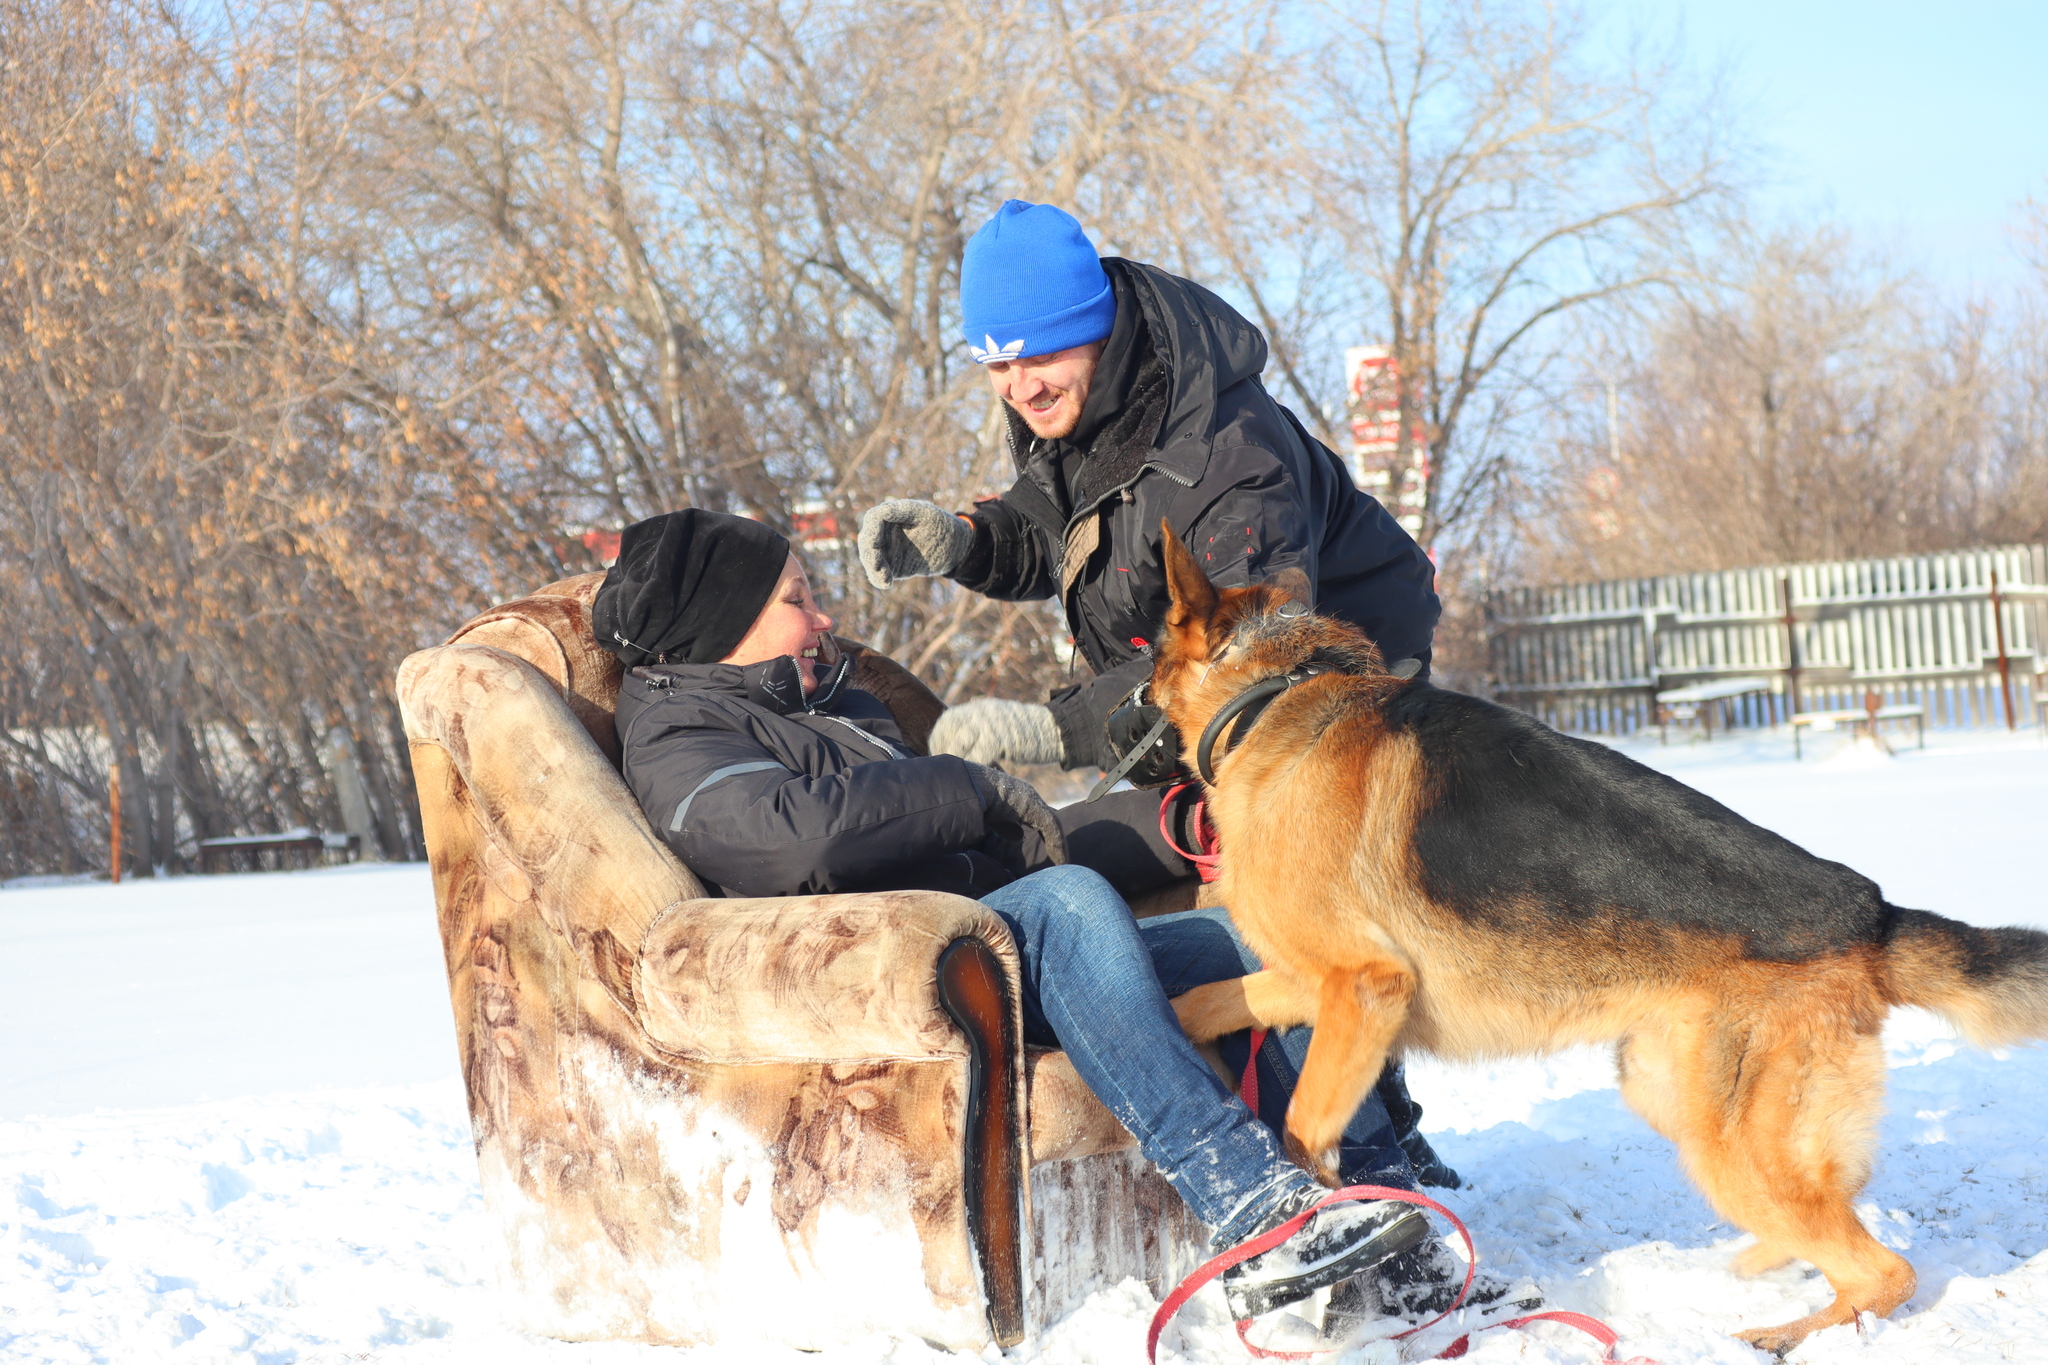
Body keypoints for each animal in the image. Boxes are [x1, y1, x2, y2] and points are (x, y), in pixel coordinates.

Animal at [1155, 527, 2048, 1358]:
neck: (1273, 692)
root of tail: (1873, 913)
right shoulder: (1307, 979)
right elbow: (1205, 998)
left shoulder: (1363, 987)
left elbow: (1303, 1127)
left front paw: (1317, 1233)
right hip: (1667, 1089)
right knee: (1840, 1213)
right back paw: (1767, 1266)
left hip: (1731, 1144)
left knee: (1883, 1269)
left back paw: (1780, 1332)